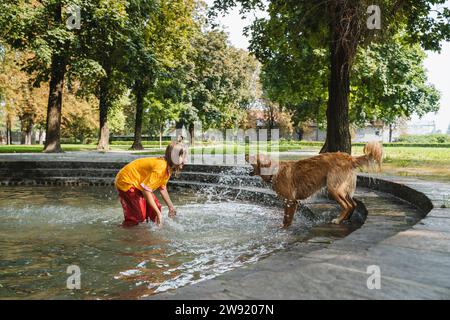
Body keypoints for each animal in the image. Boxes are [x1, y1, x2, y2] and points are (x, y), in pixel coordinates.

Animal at [246, 142, 384, 228]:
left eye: (253, 156)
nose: (245, 154)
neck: (274, 172)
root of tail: (349, 157)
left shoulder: (290, 200)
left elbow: (286, 219)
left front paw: (283, 228)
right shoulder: (291, 201)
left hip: (333, 188)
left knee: (347, 205)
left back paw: (338, 220)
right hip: (343, 188)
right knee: (353, 204)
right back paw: (346, 219)